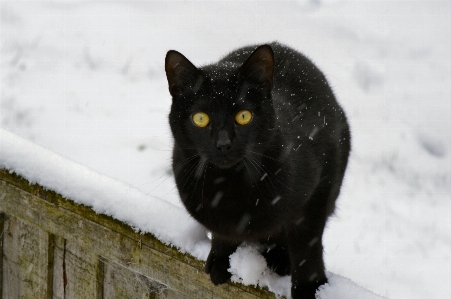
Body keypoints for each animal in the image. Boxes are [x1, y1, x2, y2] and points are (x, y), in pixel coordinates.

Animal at [164, 42, 352, 299]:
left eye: (243, 116)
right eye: (200, 118)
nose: (223, 143)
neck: (228, 186)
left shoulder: (316, 193)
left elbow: (306, 246)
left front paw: (309, 289)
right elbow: (223, 233)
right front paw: (221, 261)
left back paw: (279, 259)